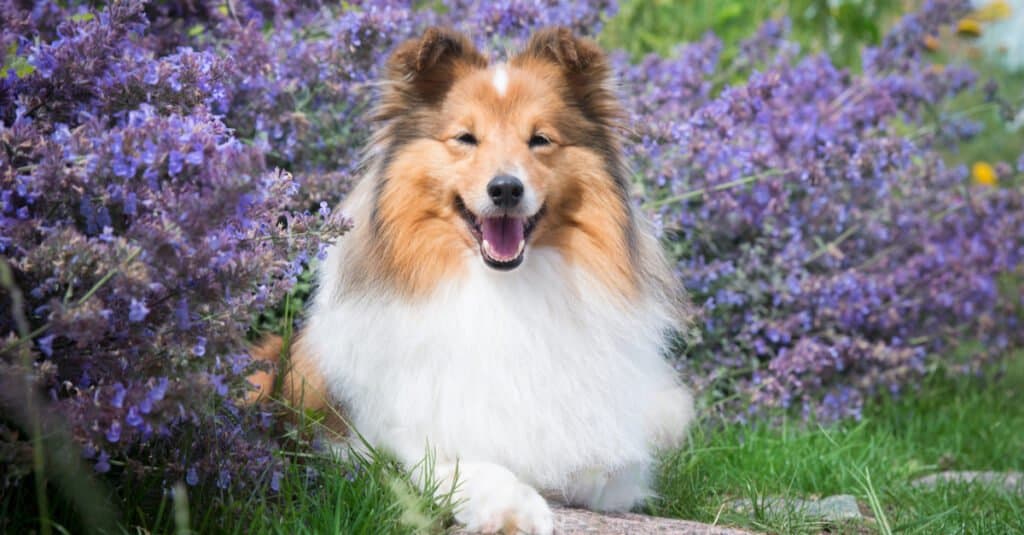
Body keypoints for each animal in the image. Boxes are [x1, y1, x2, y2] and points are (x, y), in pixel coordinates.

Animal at [249, 26, 696, 532]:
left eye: (540, 139)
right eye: (465, 138)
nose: (505, 189)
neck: (503, 290)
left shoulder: (613, 459)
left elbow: (601, 465)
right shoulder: (380, 441)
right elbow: (457, 462)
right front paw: (516, 507)